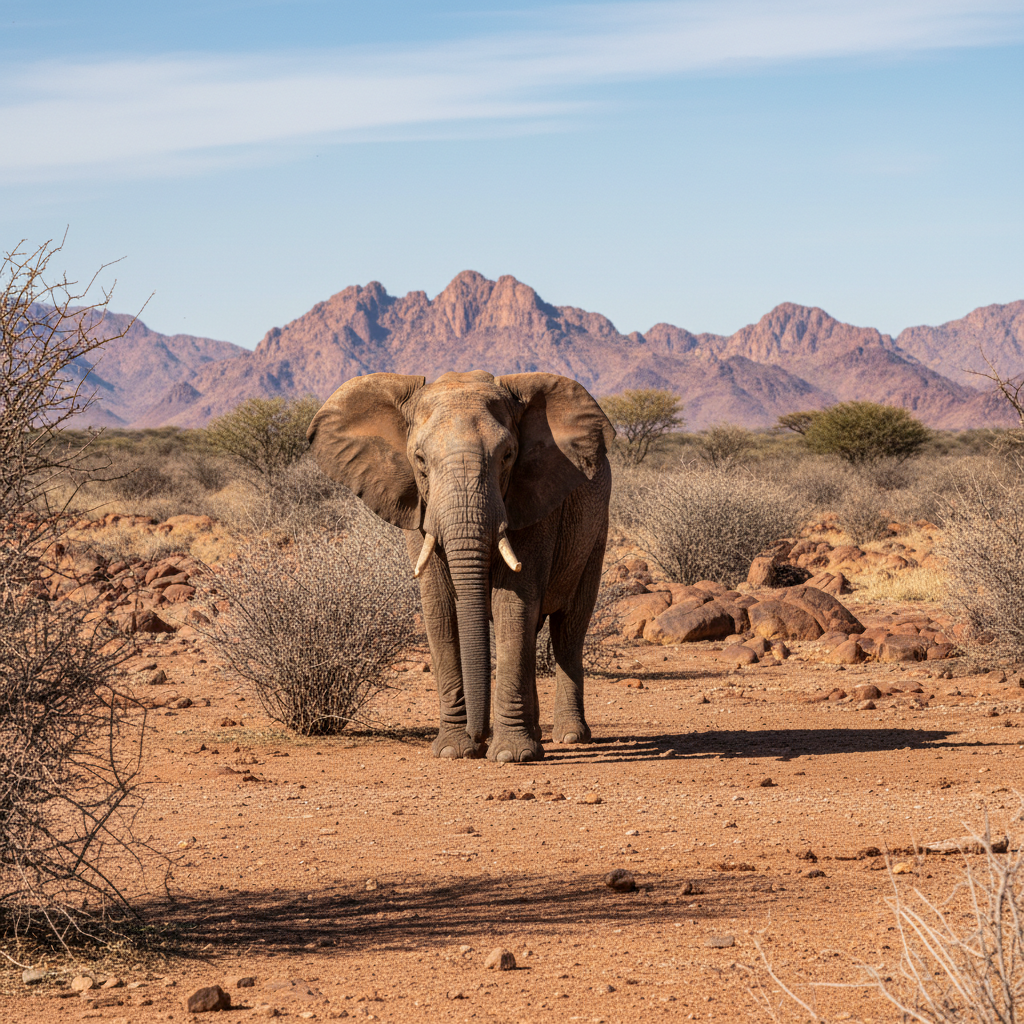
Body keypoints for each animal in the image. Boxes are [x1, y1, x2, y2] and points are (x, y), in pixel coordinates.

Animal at [306, 370, 615, 762]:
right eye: (420, 460)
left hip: (597, 529)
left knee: (569, 629)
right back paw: (537, 737)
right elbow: (439, 608)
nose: (477, 738)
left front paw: (510, 755)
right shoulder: (420, 511)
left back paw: (570, 737)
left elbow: (512, 603)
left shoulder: (532, 500)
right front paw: (454, 750)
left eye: (507, 456)